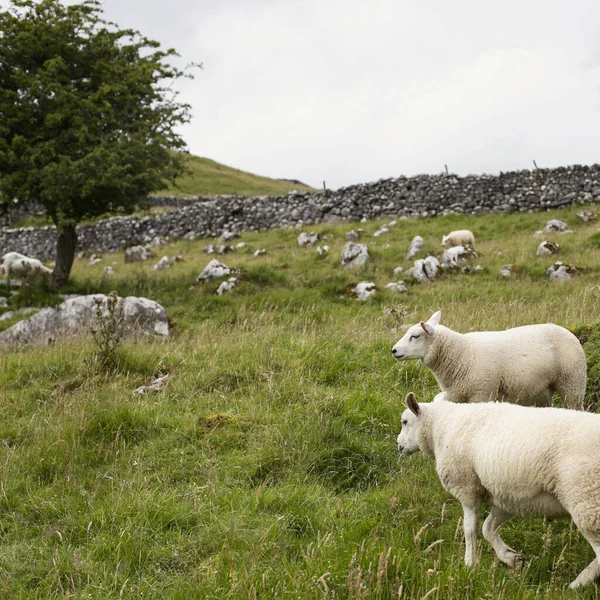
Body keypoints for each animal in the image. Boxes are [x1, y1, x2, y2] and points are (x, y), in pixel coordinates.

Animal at [392, 312, 584, 410]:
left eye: (415, 336)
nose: (393, 350)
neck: (461, 353)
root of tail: (568, 332)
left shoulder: (482, 392)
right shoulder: (459, 395)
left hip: (572, 384)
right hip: (543, 390)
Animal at [398, 392, 600, 588]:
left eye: (405, 421)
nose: (398, 446)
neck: (441, 428)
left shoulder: (467, 488)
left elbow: (469, 529)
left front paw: (470, 563)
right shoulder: (509, 497)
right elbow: (488, 527)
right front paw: (510, 557)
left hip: (587, 501)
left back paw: (579, 582)